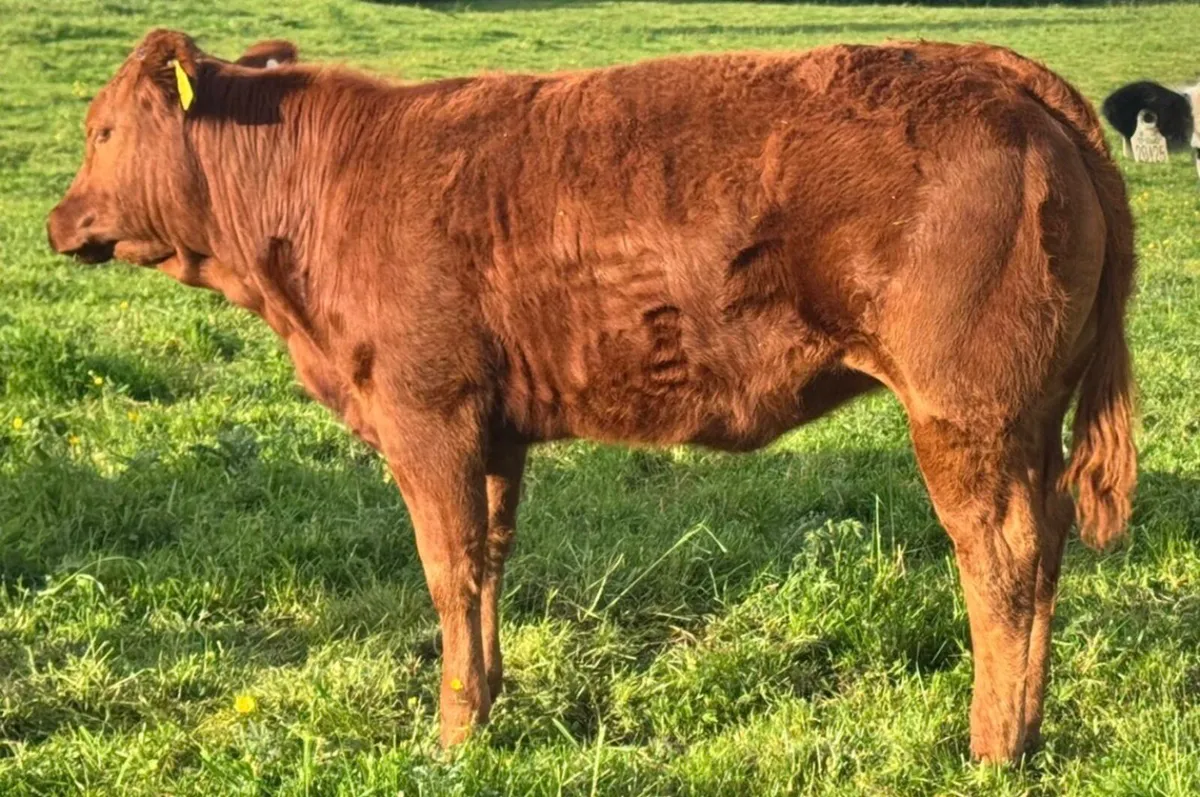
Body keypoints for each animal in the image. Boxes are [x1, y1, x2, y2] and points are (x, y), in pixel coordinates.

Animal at [46, 29, 1137, 764]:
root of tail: (1003, 73)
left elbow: (446, 569)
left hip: (966, 409)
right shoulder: (494, 429)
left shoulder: (428, 413)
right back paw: (1028, 726)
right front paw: (486, 701)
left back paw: (991, 742)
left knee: (999, 555)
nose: (58, 219)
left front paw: (451, 731)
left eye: (101, 128)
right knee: (1045, 545)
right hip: (1029, 415)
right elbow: (488, 563)